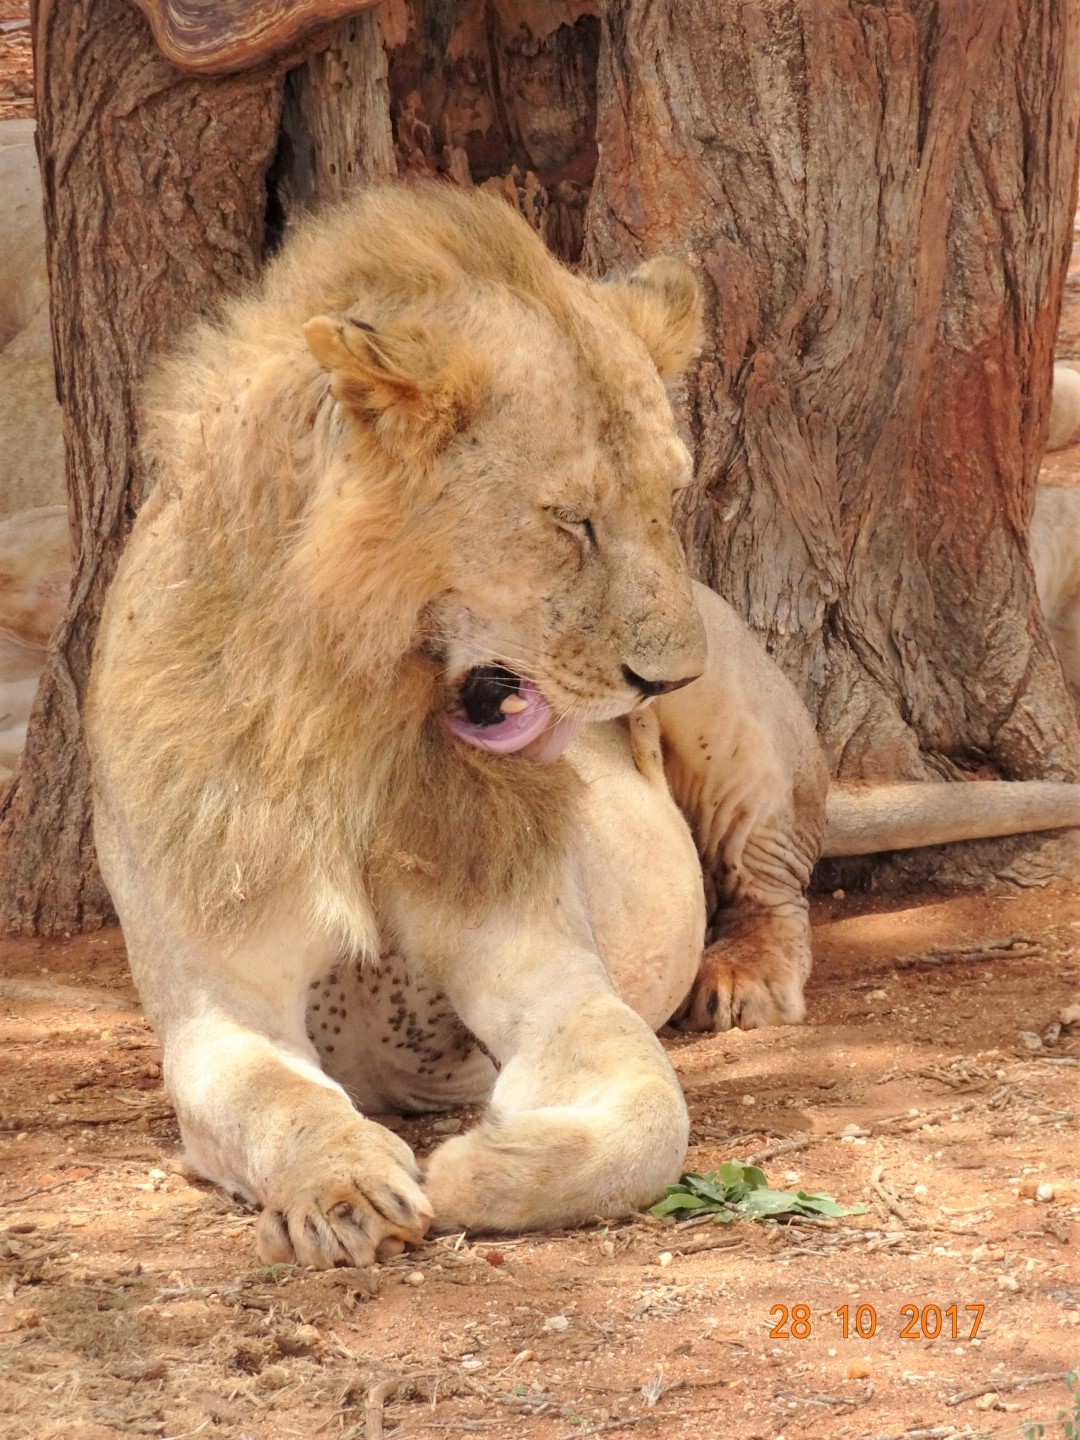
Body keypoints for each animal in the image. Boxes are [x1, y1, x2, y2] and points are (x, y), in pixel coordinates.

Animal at [87, 183, 1080, 1268]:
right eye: (570, 519)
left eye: (671, 498)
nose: (666, 675)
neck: (358, 722)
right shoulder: (215, 1003)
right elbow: (278, 1102)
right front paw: (345, 1186)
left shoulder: (544, 967)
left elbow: (651, 1114)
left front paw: (480, 1169)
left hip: (741, 728)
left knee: (776, 879)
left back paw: (746, 976)